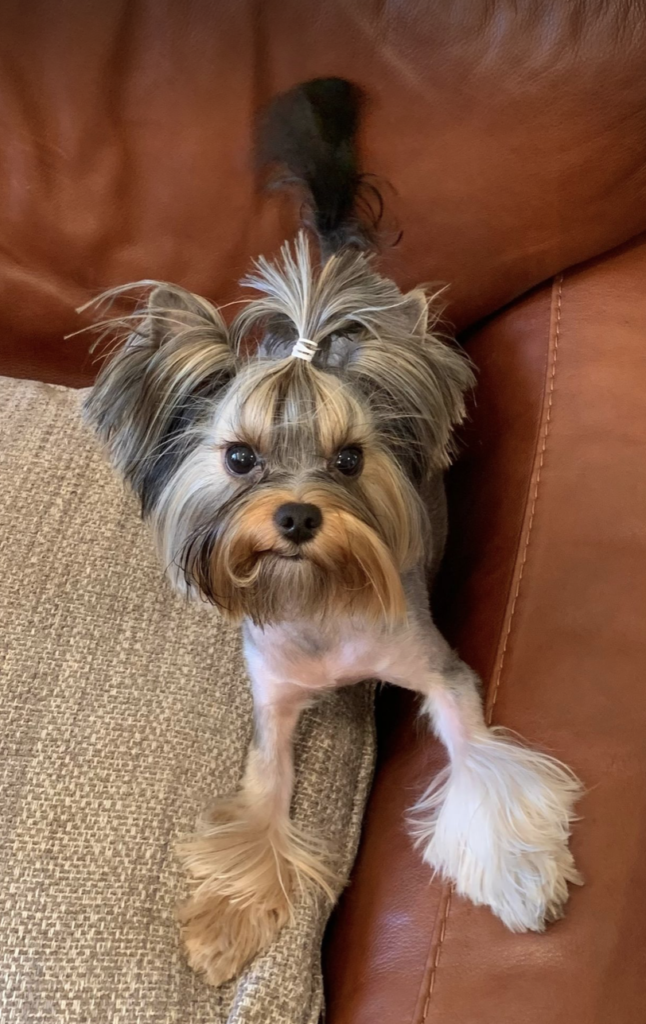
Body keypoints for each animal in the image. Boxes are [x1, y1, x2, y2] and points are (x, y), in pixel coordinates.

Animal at [84, 78, 582, 987]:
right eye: (240, 458)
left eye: (349, 459)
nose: (296, 515)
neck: (317, 601)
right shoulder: (273, 700)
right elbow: (265, 792)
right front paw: (226, 924)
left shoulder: (435, 665)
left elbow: (476, 753)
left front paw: (522, 881)